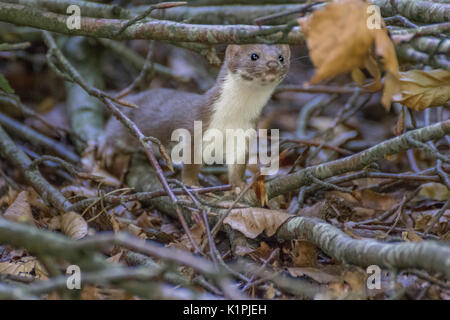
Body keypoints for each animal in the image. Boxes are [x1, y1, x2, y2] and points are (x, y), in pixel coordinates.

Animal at [101, 43, 290, 186]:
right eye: (254, 55)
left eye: (281, 57)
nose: (273, 64)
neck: (231, 119)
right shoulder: (195, 128)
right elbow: (191, 161)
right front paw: (192, 184)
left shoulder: (243, 133)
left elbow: (238, 164)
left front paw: (239, 186)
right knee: (110, 134)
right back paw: (108, 153)